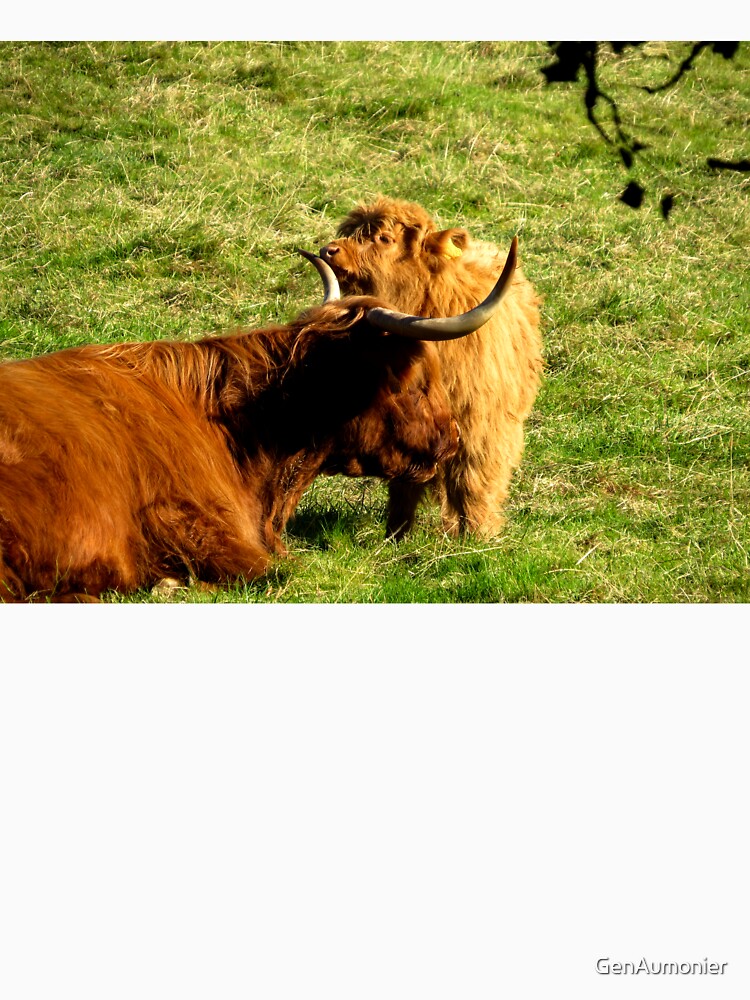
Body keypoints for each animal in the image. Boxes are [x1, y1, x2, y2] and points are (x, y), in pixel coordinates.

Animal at [307, 197, 543, 540]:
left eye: (384, 239)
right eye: (351, 232)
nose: (328, 250)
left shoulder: (479, 426)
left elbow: (473, 481)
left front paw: (479, 536)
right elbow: (404, 483)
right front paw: (396, 536)